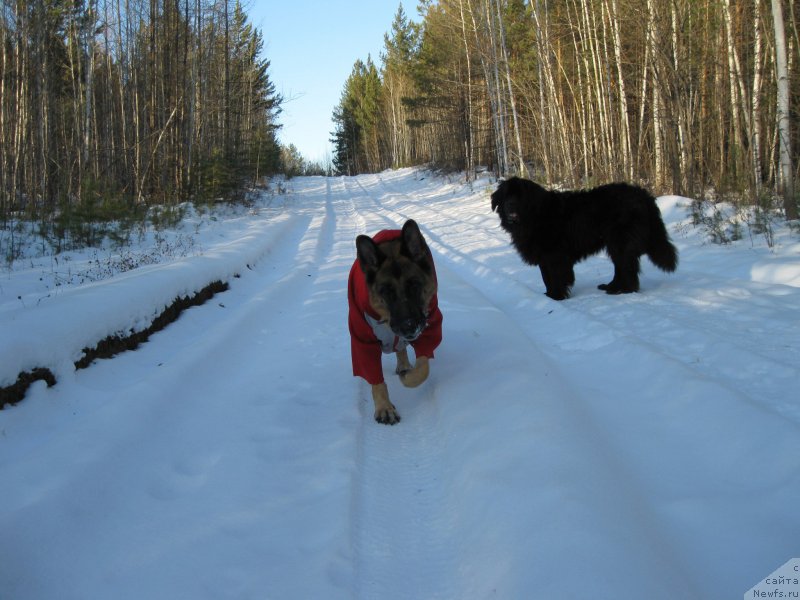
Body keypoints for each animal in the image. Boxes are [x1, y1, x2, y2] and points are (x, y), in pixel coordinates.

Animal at [346, 219, 444, 422]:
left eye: (414, 285)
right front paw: (384, 407)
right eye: (386, 291)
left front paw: (409, 378)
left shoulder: (430, 325)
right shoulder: (362, 341)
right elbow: (375, 377)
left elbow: (423, 367)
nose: (409, 327)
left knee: (401, 348)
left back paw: (404, 365)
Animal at [490, 177, 680, 300]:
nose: (511, 205)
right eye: (506, 195)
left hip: (620, 241)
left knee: (626, 267)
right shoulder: (544, 256)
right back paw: (611, 286)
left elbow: (556, 277)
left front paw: (556, 297)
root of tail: (644, 195)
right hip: (615, 243)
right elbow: (546, 277)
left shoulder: (555, 255)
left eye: (520, 196)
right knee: (621, 266)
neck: (534, 216)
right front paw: (548, 295)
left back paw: (621, 290)